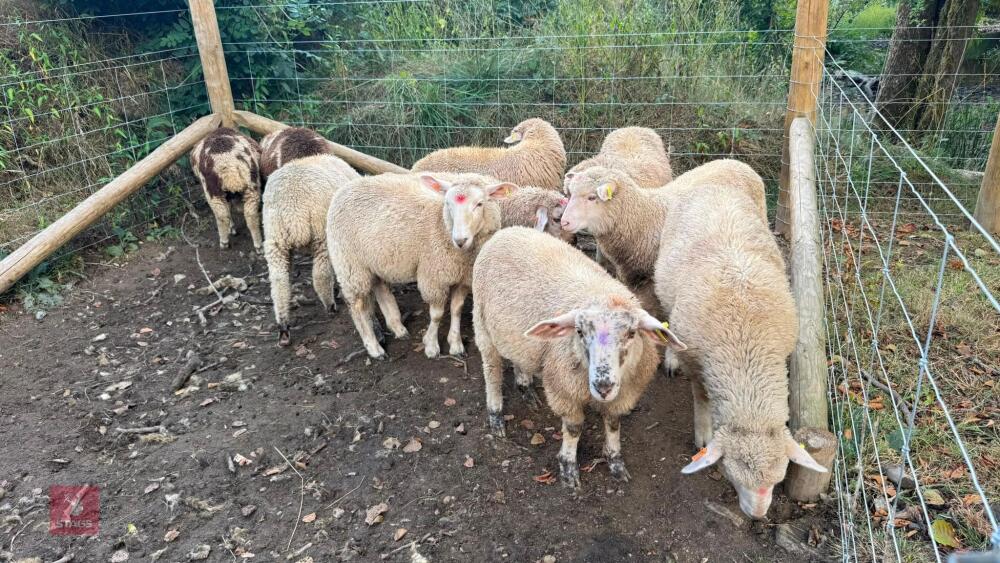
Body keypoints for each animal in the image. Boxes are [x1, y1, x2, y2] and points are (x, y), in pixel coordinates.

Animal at [262, 154, 361, 346]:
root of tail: (292, 210)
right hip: (320, 233)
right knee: (321, 274)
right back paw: (330, 306)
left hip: (275, 240)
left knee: (279, 282)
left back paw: (283, 327)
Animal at [327, 172, 515, 360]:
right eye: (448, 204)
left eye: (479, 204)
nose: (460, 240)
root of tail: (345, 188)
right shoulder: (434, 277)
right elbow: (437, 315)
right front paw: (431, 346)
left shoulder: (464, 278)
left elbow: (456, 309)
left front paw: (456, 344)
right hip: (350, 262)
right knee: (357, 305)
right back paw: (374, 347)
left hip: (375, 260)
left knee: (381, 288)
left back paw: (398, 328)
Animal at [472, 226, 686, 488]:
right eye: (580, 332)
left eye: (632, 333)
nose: (603, 385)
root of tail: (507, 231)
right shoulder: (564, 390)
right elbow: (574, 429)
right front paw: (568, 468)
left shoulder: (623, 394)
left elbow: (613, 423)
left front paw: (615, 461)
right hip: (482, 325)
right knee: (492, 372)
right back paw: (496, 416)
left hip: (515, 335)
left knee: (519, 358)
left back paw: (527, 390)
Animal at [652, 183, 826, 519]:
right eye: (732, 476)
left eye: (778, 479)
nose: (757, 515)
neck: (745, 343)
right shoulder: (697, 363)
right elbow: (701, 397)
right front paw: (703, 434)